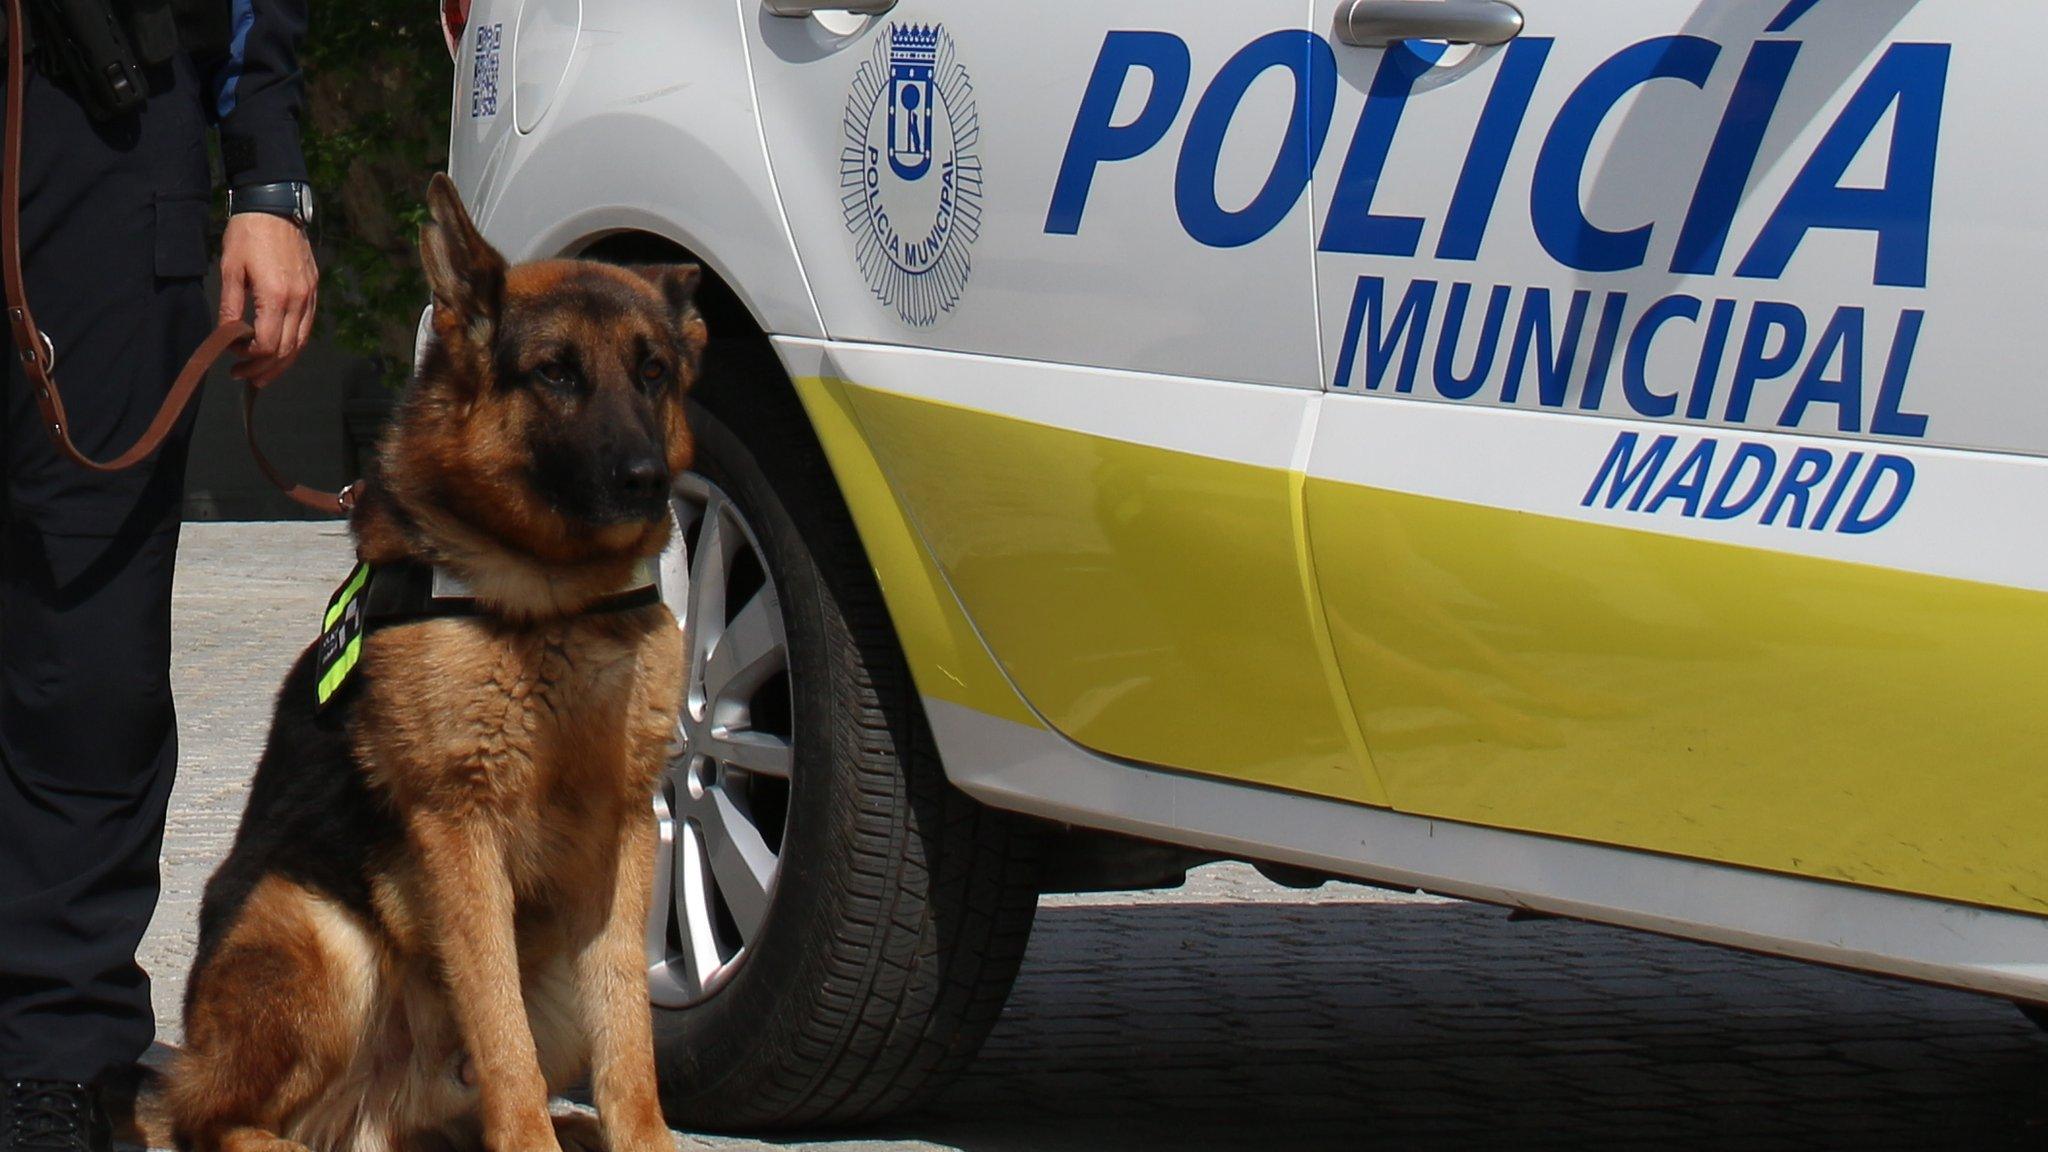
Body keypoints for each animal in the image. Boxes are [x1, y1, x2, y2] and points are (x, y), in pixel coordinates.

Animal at [161, 170, 704, 1147]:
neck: (553, 596)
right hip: (317, 926)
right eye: (556, 372)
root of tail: (374, 1114)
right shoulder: (460, 828)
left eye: (653, 374)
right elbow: (501, 1031)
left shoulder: (624, 830)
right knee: (202, 1116)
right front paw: (529, 1138)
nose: (647, 480)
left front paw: (640, 1137)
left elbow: (628, 1033)